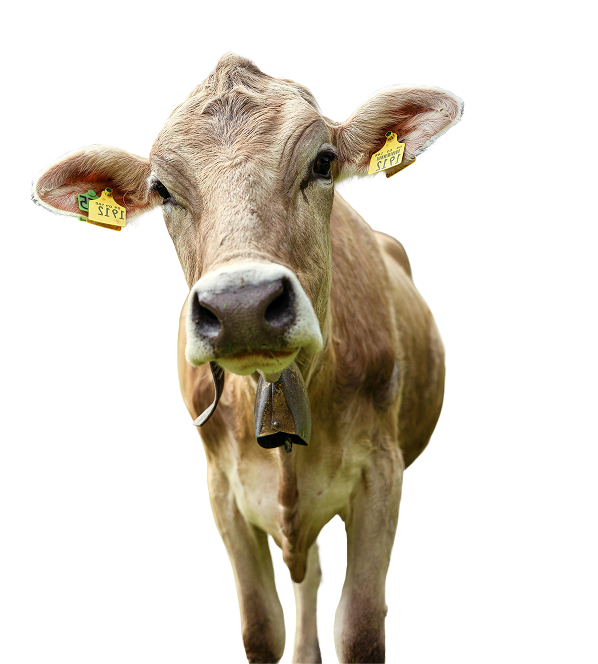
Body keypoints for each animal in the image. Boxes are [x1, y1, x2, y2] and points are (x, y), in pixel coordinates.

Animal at [31, 51, 463, 664]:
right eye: (162, 190)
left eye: (324, 161)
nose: (242, 304)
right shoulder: (224, 488)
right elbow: (260, 628)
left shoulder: (382, 471)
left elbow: (359, 628)